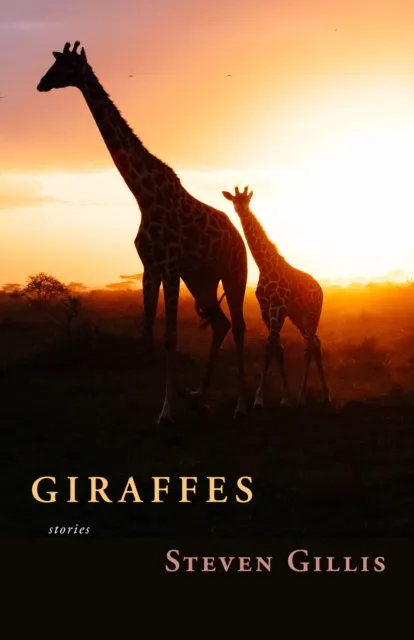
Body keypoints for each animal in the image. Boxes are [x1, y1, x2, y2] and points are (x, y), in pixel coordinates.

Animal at [36, 42, 248, 423]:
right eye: (54, 64)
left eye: (67, 67)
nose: (41, 84)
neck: (143, 195)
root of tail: (237, 237)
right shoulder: (150, 267)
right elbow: (147, 334)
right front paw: (183, 399)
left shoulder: (170, 265)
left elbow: (170, 336)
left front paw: (167, 411)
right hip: (202, 279)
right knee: (221, 324)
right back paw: (201, 398)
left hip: (233, 272)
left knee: (238, 326)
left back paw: (242, 405)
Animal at [222, 186, 330, 409]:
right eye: (234, 200)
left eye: (246, 200)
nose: (240, 209)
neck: (264, 266)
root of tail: (320, 289)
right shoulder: (267, 310)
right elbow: (276, 348)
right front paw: (282, 396)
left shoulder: (278, 308)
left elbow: (269, 346)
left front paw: (260, 398)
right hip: (299, 317)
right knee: (315, 343)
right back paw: (324, 395)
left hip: (312, 315)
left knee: (310, 346)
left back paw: (304, 397)